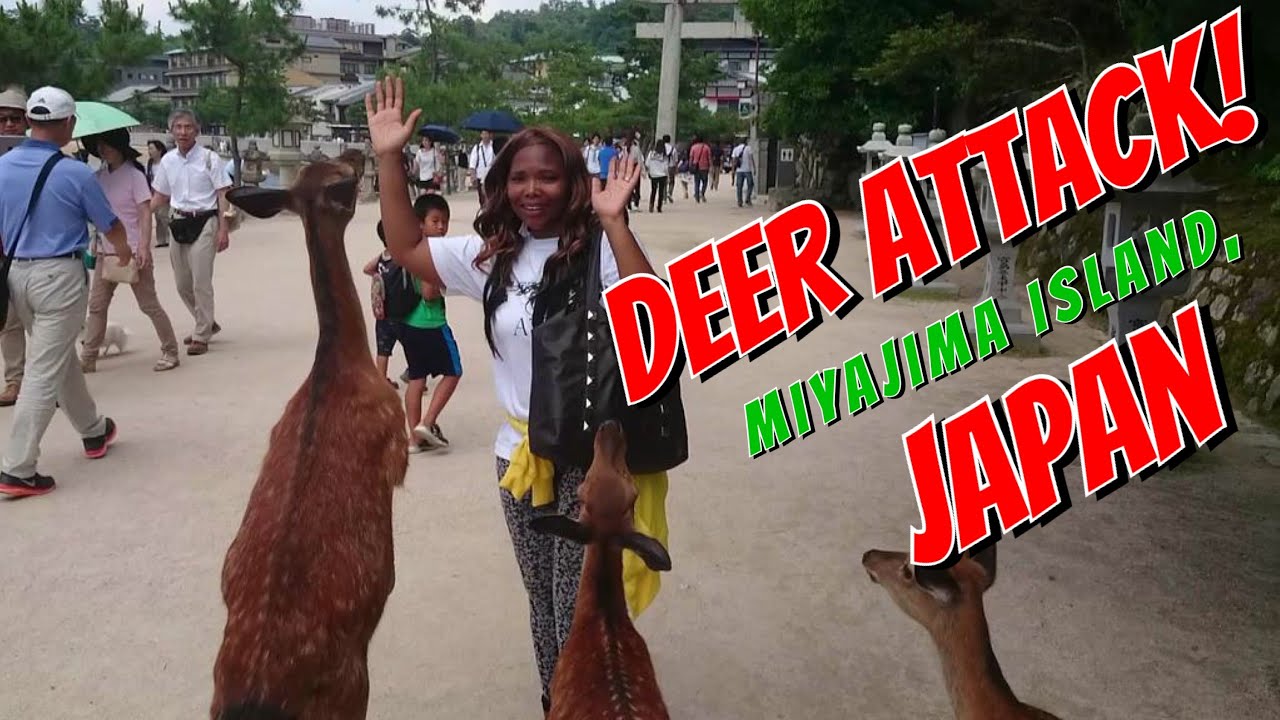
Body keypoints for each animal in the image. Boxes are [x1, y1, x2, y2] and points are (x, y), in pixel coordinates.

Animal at [209, 149, 409, 720]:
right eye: (345, 180)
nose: (360, 153)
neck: (335, 367)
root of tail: (254, 701)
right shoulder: (394, 435)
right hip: (349, 687)